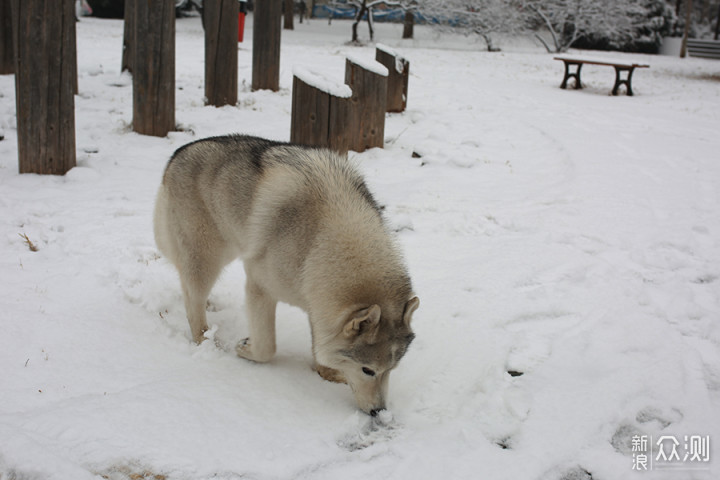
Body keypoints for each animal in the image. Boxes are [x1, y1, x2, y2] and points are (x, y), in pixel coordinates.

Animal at [155, 136, 420, 416]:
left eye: (391, 370)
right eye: (368, 370)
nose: (379, 411)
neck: (321, 241)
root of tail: (178, 153)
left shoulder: (317, 301)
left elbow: (319, 345)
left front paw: (326, 373)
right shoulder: (260, 286)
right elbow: (267, 348)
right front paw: (245, 349)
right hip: (208, 259)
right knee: (192, 300)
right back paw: (205, 340)